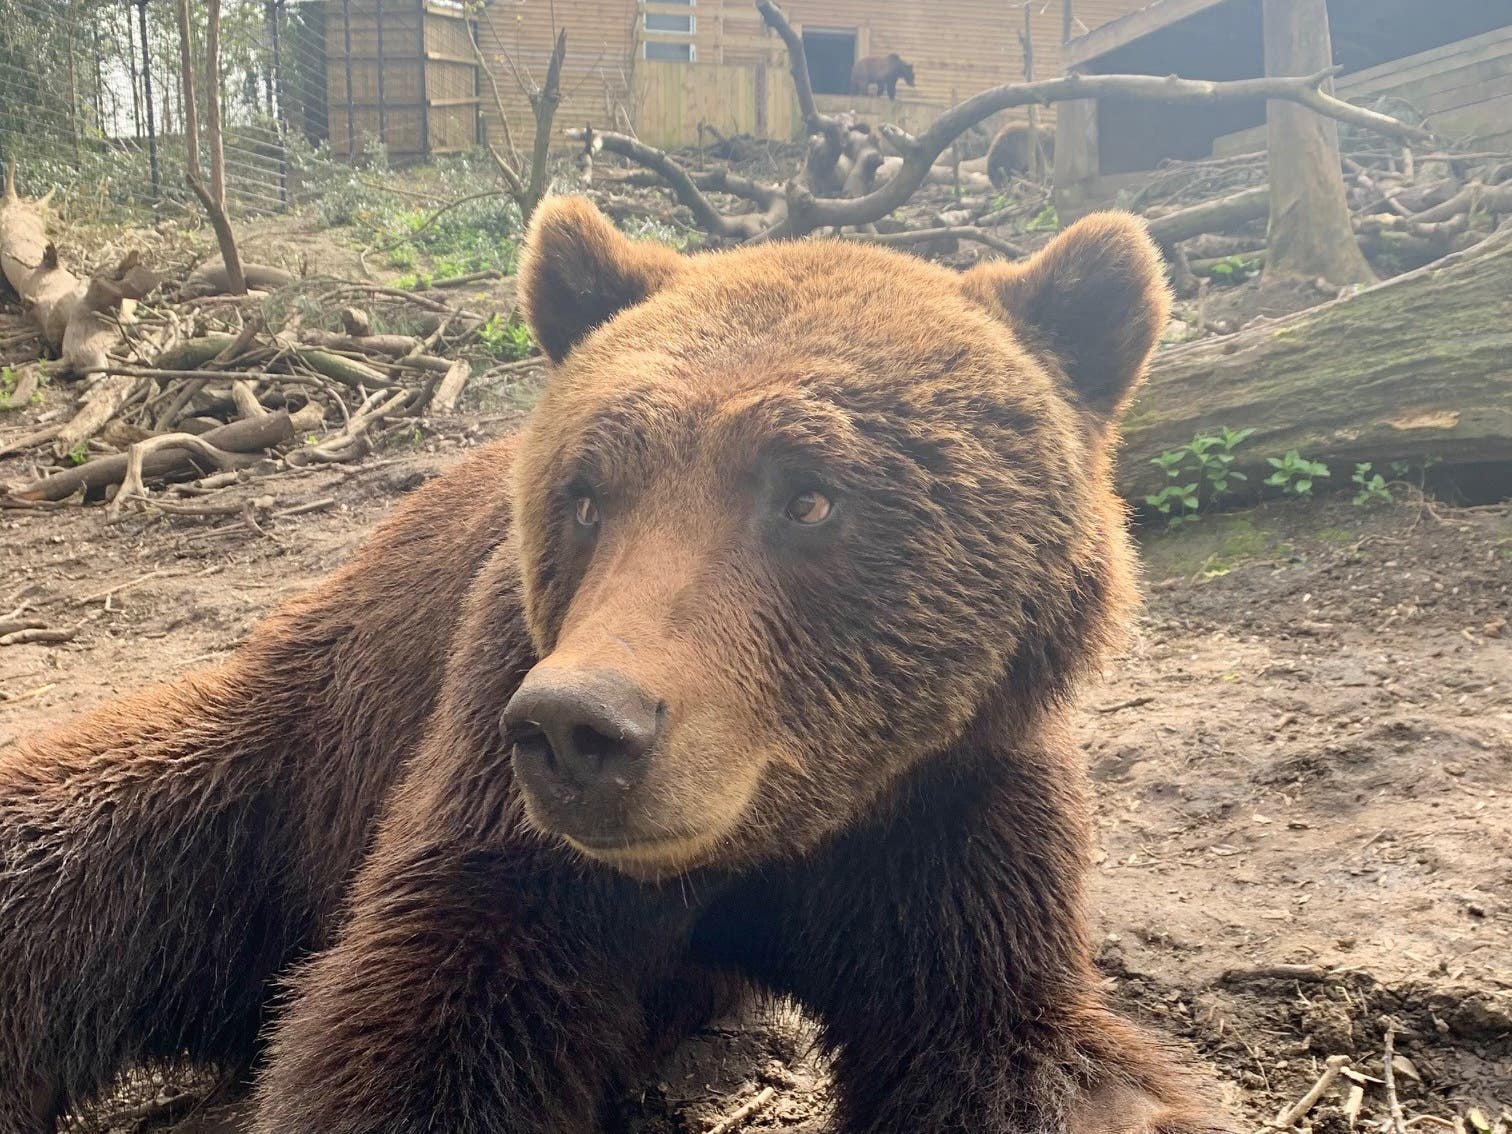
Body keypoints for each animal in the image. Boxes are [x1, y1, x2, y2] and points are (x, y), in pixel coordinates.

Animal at [0, 196, 1235, 1134]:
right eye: (588, 495)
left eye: (810, 495)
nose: (580, 727)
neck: (773, 834)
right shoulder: (500, 782)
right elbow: (428, 1017)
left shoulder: (949, 794)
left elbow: (1011, 1043)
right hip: (289, 762)